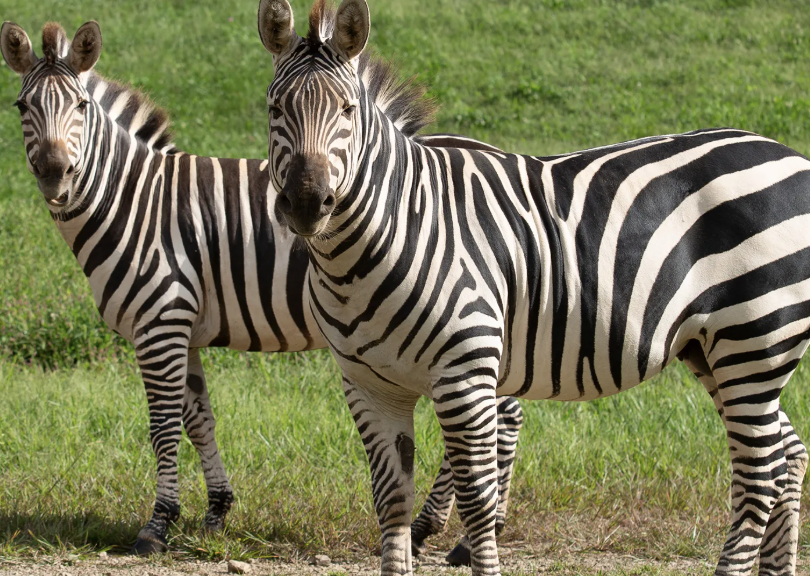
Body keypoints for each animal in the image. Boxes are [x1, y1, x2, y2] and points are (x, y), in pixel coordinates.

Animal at [0, 19, 523, 560]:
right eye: (21, 106)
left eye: (81, 106)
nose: (54, 176)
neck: (133, 200)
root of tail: (495, 151)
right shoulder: (183, 330)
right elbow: (198, 419)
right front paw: (216, 509)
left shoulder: (160, 321)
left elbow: (163, 425)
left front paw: (158, 523)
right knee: (507, 414)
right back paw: (475, 531)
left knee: (500, 418)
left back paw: (446, 531)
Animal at [258, 0, 810, 574]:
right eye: (274, 108)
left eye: (347, 110)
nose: (307, 203)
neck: (393, 228)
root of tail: (790, 155)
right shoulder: (369, 385)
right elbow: (390, 500)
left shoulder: (465, 376)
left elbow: (477, 500)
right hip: (716, 349)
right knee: (787, 452)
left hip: (756, 335)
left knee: (759, 473)